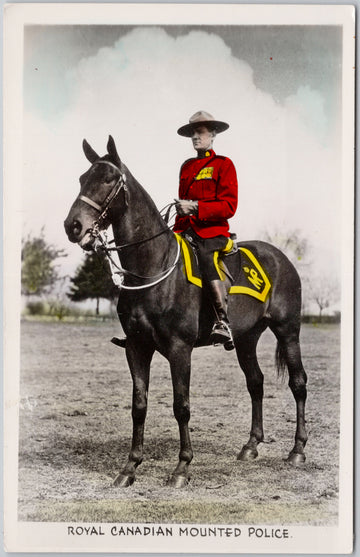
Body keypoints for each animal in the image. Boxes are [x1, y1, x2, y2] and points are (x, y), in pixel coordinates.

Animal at [64, 135, 306, 486]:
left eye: (108, 179)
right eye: (83, 179)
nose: (73, 226)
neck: (152, 266)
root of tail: (281, 257)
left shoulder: (180, 350)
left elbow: (182, 406)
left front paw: (182, 467)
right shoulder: (136, 347)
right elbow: (139, 405)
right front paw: (130, 467)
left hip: (288, 331)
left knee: (298, 383)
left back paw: (298, 450)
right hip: (247, 338)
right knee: (256, 383)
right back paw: (250, 445)